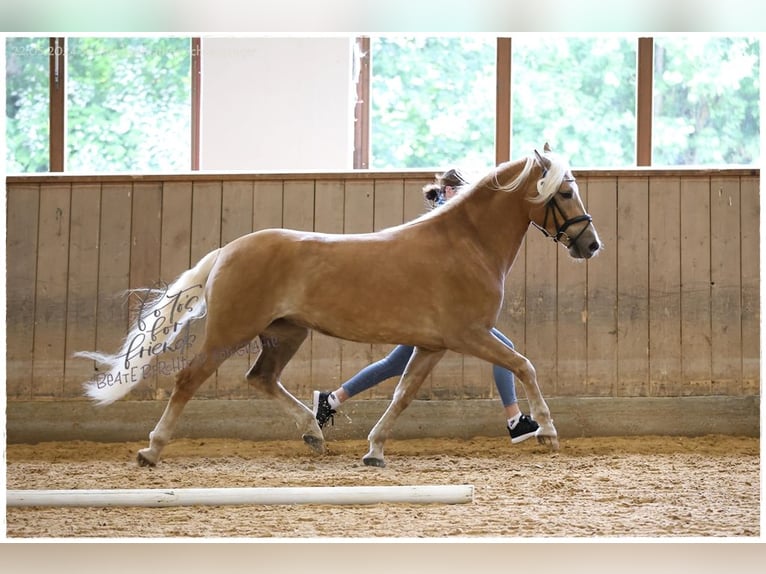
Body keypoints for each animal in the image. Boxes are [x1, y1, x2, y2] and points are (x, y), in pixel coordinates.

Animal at [79, 143, 608, 468]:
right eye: (565, 191)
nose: (591, 245)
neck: (466, 243)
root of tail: (228, 251)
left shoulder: (433, 345)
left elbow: (402, 394)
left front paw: (374, 450)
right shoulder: (469, 335)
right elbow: (524, 364)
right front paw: (547, 431)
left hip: (286, 333)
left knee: (261, 379)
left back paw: (314, 432)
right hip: (230, 331)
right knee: (189, 380)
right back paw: (152, 450)